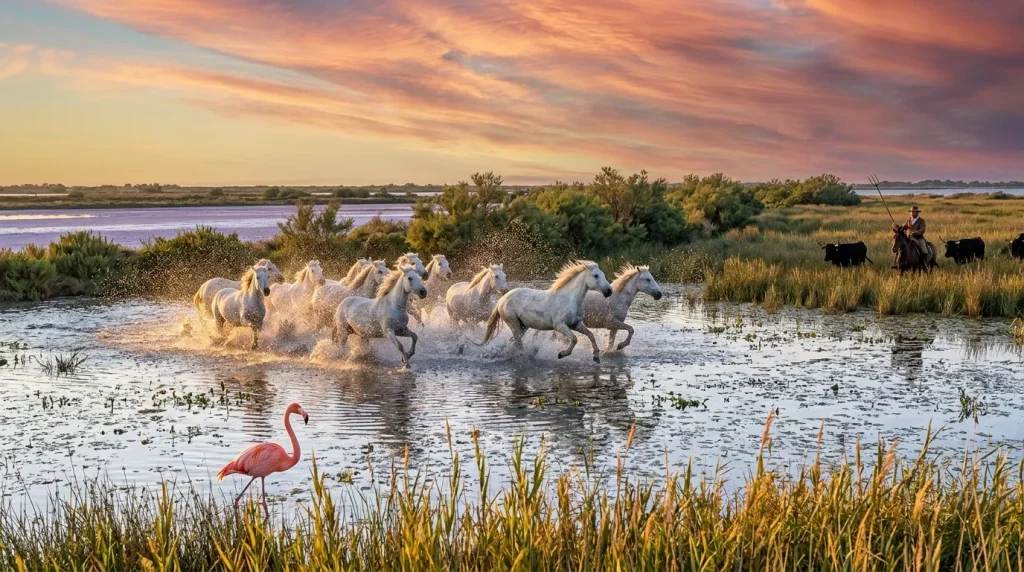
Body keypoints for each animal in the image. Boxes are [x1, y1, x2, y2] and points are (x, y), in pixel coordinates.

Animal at [482, 260, 612, 363]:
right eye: (596, 275)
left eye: (603, 275)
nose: (609, 291)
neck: (569, 299)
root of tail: (502, 299)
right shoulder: (560, 326)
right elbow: (575, 339)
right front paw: (561, 354)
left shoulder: (576, 324)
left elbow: (591, 335)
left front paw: (596, 357)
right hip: (513, 323)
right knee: (518, 343)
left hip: (523, 326)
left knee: (514, 342)